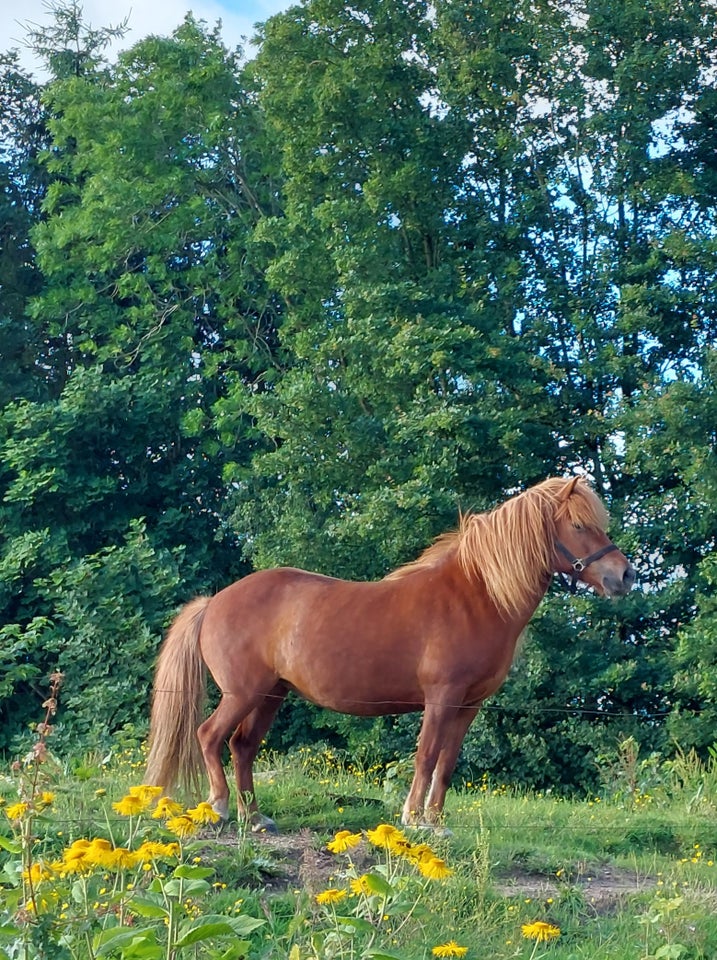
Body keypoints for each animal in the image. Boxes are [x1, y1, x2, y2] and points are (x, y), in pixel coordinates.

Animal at [144, 476, 632, 828]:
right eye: (580, 526)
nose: (625, 576)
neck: (476, 594)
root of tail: (214, 602)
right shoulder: (442, 698)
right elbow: (427, 755)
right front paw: (413, 818)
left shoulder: (469, 705)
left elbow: (447, 762)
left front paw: (436, 821)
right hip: (243, 693)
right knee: (210, 737)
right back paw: (222, 807)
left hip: (271, 695)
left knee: (243, 747)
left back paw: (255, 816)